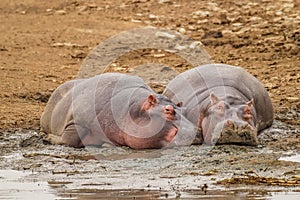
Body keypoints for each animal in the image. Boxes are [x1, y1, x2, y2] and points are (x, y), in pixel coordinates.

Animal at [40, 72, 199, 149]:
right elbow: (69, 139)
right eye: (168, 110)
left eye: (185, 110)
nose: (197, 132)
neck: (134, 109)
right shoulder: (78, 121)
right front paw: (47, 138)